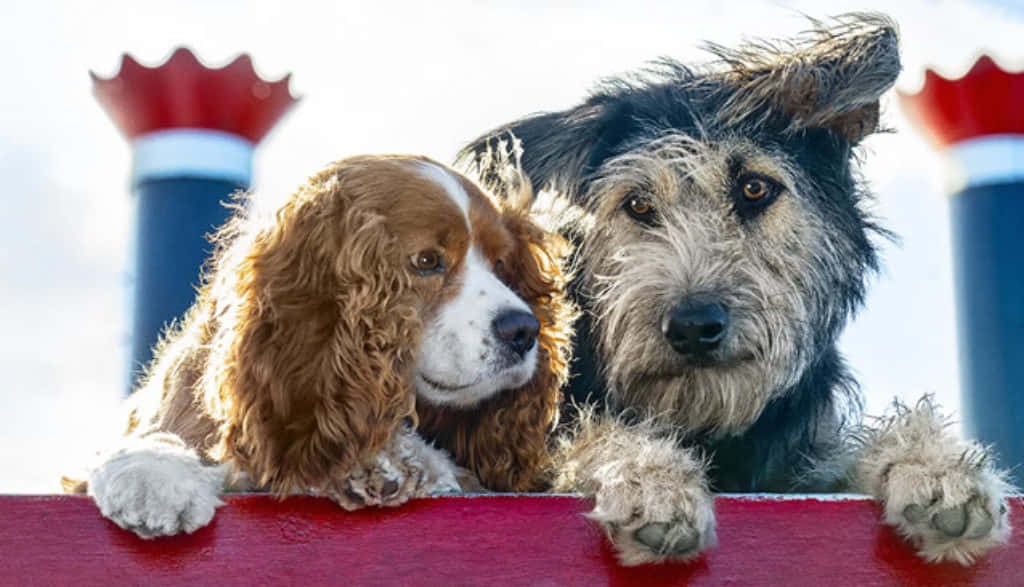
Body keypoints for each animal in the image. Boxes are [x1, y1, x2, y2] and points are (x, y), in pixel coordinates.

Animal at [61, 154, 577, 536]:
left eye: (502, 264)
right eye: (427, 261)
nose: (524, 329)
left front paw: (390, 464)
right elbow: (152, 437)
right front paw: (152, 474)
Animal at [466, 12, 1015, 561]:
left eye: (754, 188)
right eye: (638, 205)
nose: (692, 327)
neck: (707, 424)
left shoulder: (797, 466)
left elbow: (845, 453)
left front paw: (934, 466)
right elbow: (586, 437)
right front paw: (647, 477)